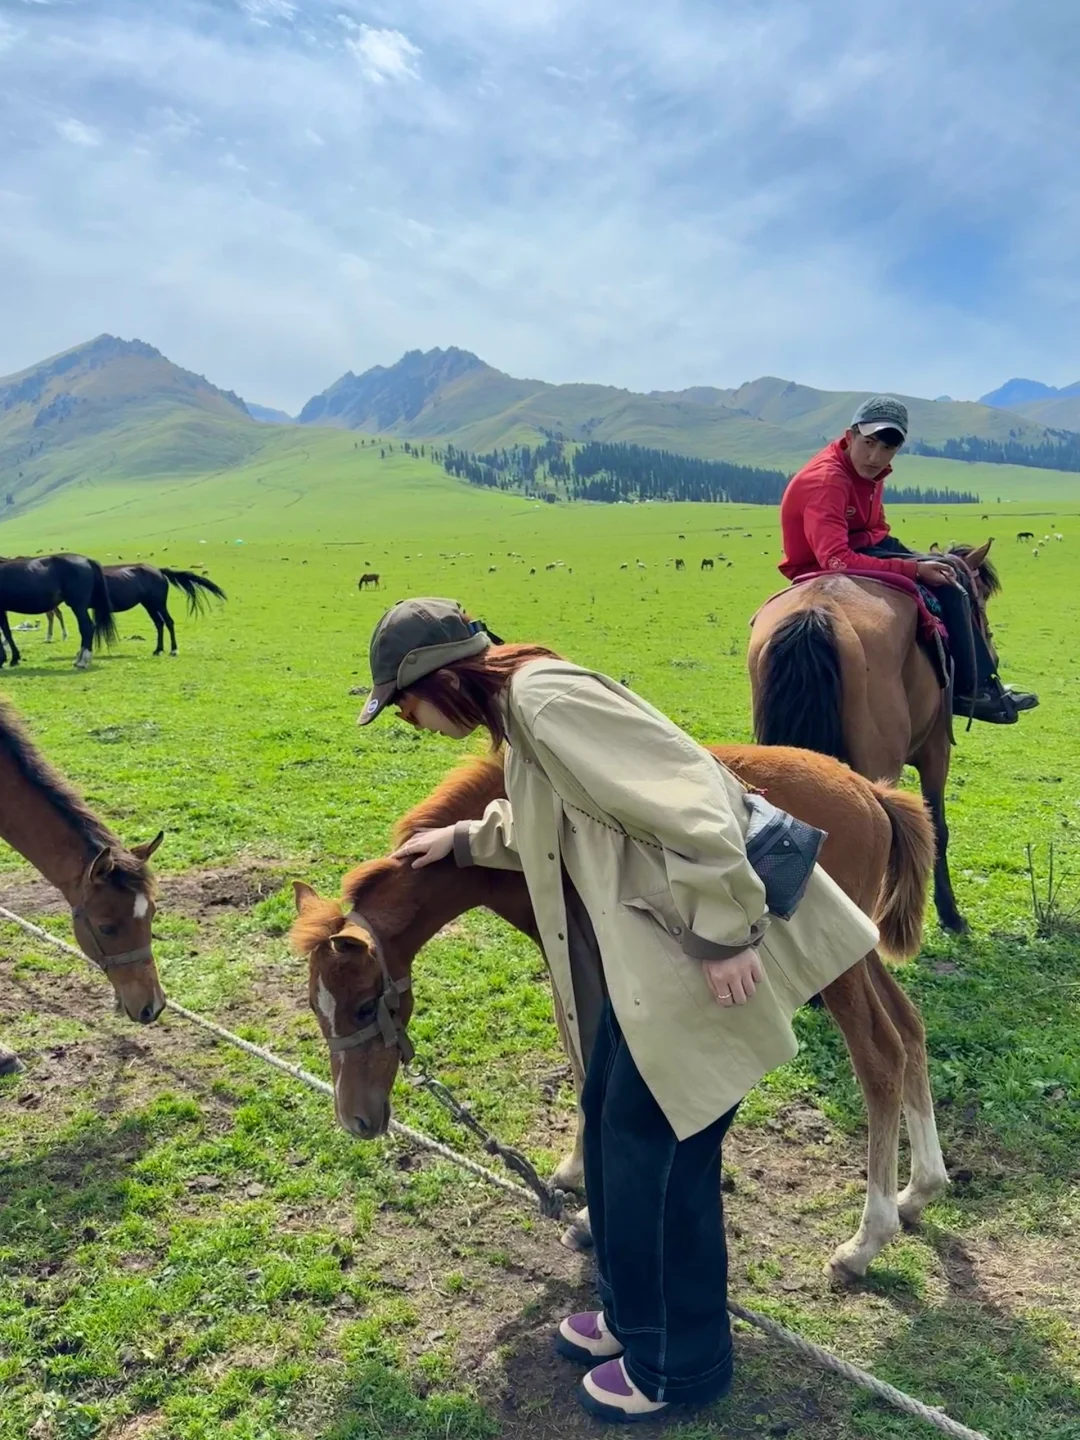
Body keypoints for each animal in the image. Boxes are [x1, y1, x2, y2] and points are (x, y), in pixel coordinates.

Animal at [289, 748, 944, 1278]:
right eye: (316, 1009)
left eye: (365, 1005)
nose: (356, 1119)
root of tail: (874, 794)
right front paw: (575, 1171)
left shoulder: (589, 952)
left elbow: (585, 1058)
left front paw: (585, 1206)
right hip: (857, 949)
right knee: (912, 1028)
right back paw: (921, 1190)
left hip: (836, 965)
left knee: (881, 1056)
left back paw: (865, 1241)